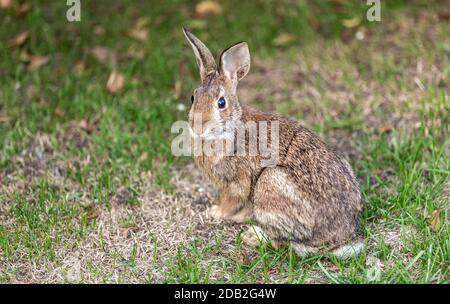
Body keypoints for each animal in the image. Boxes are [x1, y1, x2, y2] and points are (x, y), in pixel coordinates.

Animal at [181, 27, 364, 256]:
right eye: (193, 97)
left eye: (221, 103)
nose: (197, 127)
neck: (228, 127)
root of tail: (339, 237)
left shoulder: (236, 183)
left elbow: (231, 202)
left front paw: (216, 212)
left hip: (269, 184)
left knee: (285, 243)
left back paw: (253, 236)